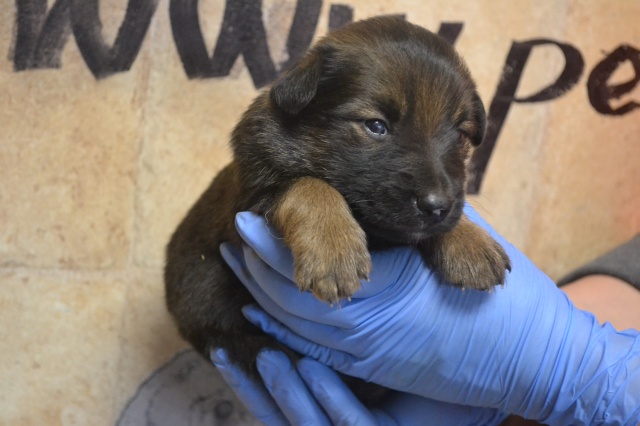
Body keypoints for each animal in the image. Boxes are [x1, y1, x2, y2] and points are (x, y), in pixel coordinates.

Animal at [165, 16, 511, 389]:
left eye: (461, 135)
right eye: (376, 126)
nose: (436, 206)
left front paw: (469, 241)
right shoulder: (251, 198)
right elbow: (310, 186)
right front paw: (332, 249)